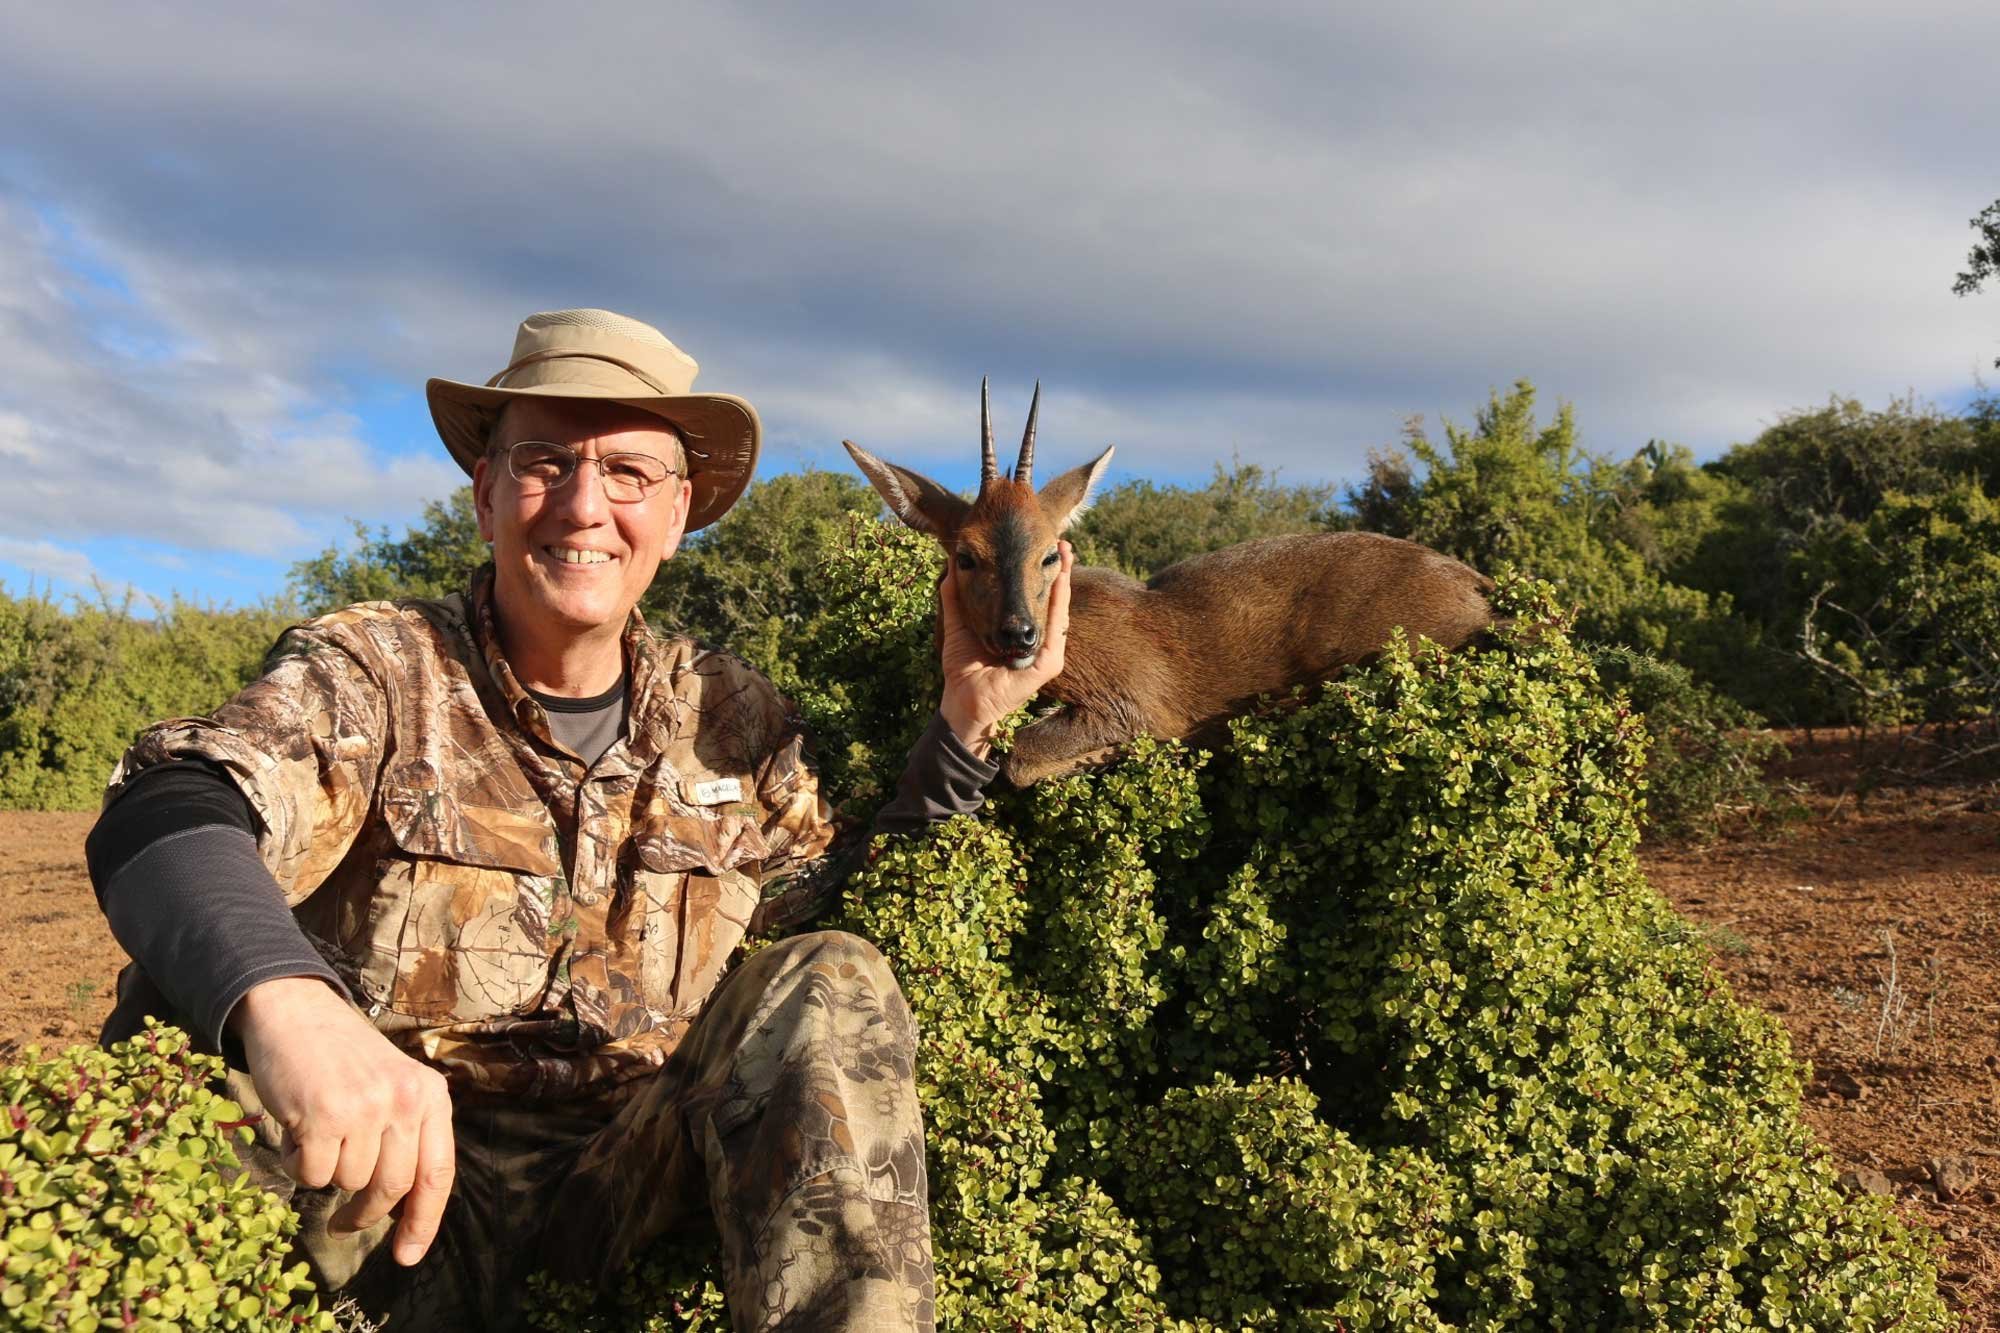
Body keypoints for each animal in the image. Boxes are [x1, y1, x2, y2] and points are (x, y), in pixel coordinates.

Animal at [842, 382, 1498, 786]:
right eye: (966, 557)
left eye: (1051, 554)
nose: (1020, 635)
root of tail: (1485, 592)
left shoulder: (1136, 702)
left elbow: (1021, 756)